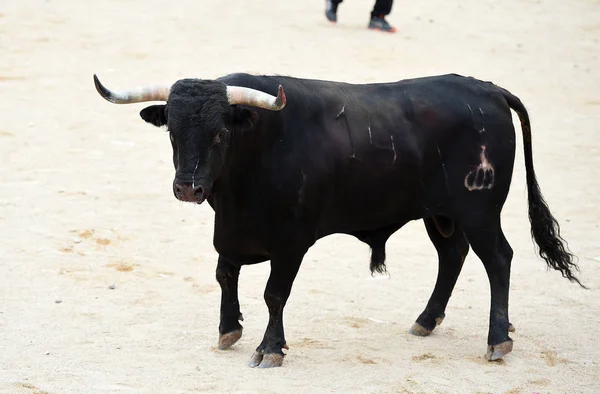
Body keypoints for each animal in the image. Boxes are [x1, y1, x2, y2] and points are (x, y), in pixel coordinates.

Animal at [92, 71, 580, 370]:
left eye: (220, 133)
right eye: (173, 132)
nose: (188, 188)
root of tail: (490, 90)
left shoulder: (291, 242)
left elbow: (274, 294)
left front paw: (270, 349)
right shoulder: (229, 232)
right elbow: (225, 276)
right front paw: (229, 330)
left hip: (479, 211)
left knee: (498, 259)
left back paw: (497, 339)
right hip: (441, 214)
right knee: (453, 255)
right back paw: (426, 320)